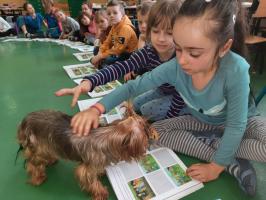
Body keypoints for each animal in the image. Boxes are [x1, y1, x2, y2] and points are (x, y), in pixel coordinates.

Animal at [17, 105, 158, 199]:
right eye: (145, 127)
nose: (152, 132)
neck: (109, 134)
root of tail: (24, 121)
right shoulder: (86, 169)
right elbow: (91, 181)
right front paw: (101, 193)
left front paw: (101, 173)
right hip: (37, 147)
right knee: (32, 163)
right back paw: (38, 178)